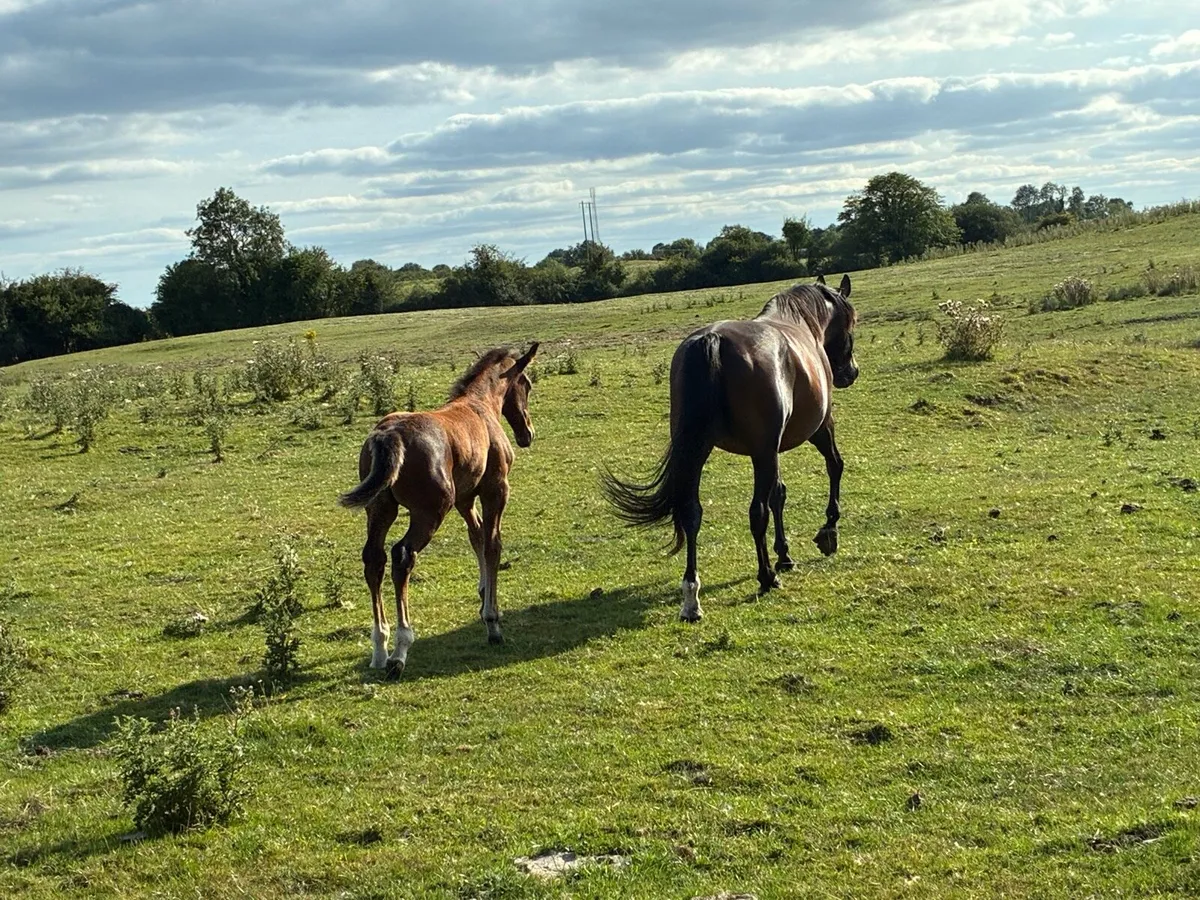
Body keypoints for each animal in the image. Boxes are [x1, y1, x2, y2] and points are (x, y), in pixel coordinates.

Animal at [339, 343, 538, 677]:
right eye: (527, 384)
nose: (528, 433)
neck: (479, 406)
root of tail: (389, 435)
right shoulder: (495, 490)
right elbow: (493, 544)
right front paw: (492, 621)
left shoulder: (465, 498)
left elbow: (477, 537)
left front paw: (482, 593)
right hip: (430, 511)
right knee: (402, 556)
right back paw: (400, 651)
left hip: (380, 508)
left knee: (374, 559)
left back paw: (380, 647)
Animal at [602, 275, 858, 621]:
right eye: (851, 322)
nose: (851, 372)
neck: (802, 324)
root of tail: (712, 340)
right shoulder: (817, 430)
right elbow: (834, 466)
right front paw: (828, 531)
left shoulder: (770, 450)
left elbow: (779, 494)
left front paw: (785, 555)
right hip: (763, 452)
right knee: (757, 512)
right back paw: (766, 577)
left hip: (698, 450)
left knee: (691, 513)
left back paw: (691, 597)